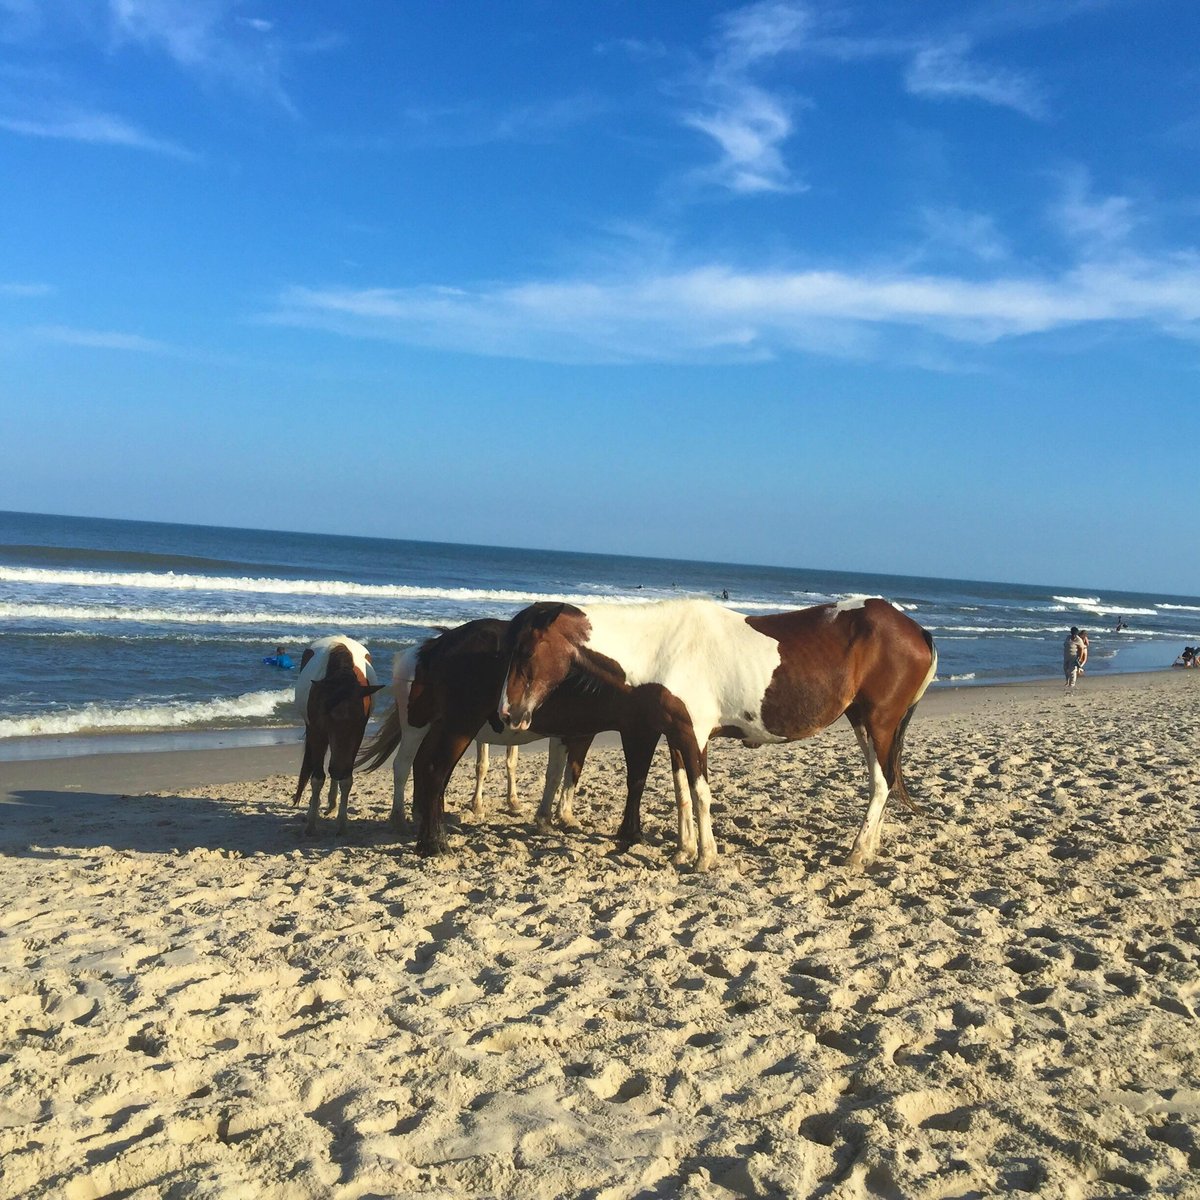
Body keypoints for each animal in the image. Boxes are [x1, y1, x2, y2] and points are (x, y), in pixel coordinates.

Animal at [291, 638, 381, 835]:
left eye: (359, 717)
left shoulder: (357, 735)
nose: (339, 770)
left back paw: (332, 803)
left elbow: (346, 780)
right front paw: (311, 824)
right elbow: (317, 779)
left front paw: (342, 823)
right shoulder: (318, 732)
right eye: (328, 715)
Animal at [496, 597, 936, 873]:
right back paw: (869, 851)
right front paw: (683, 850)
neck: (662, 648)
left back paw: (856, 855)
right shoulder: (675, 734)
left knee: (880, 785)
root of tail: (916, 630)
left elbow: (700, 794)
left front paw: (705, 858)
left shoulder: (694, 735)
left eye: (527, 651)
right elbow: (681, 793)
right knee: (885, 781)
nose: (507, 714)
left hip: (878, 723)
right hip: (863, 722)